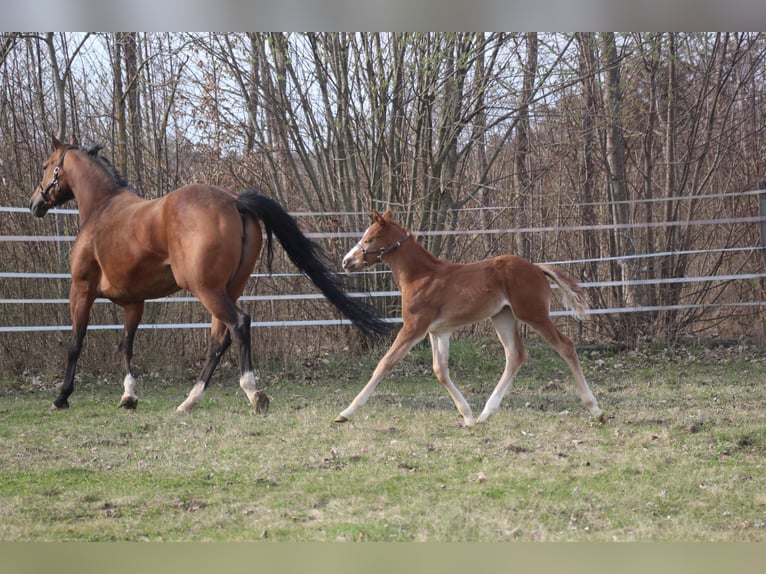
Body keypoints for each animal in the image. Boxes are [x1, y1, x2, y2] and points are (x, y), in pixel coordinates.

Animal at [29, 136, 389, 413]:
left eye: (46, 165)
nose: (34, 203)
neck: (103, 209)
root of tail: (235, 201)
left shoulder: (82, 290)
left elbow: (75, 343)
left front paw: (62, 397)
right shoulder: (134, 302)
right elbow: (126, 346)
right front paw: (129, 395)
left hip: (206, 289)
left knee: (239, 325)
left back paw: (253, 393)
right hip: (226, 289)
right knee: (219, 339)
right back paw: (190, 400)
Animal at [335, 208, 606, 427]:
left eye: (369, 239)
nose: (346, 261)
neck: (420, 276)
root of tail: (537, 268)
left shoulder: (414, 327)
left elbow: (385, 363)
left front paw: (346, 412)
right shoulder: (438, 331)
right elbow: (440, 370)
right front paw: (467, 415)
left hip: (533, 314)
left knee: (565, 345)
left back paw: (595, 409)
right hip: (503, 317)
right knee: (515, 354)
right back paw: (486, 413)